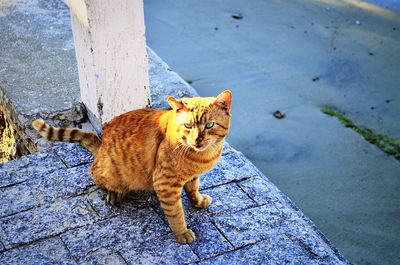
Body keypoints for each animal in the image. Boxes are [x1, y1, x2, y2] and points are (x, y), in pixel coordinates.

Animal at [32, 91, 233, 243]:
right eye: (188, 126)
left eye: (209, 125)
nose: (198, 140)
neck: (203, 156)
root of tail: (101, 145)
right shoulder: (165, 183)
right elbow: (176, 212)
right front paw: (182, 233)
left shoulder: (192, 176)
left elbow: (193, 188)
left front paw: (197, 201)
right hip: (108, 171)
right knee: (97, 177)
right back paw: (115, 193)